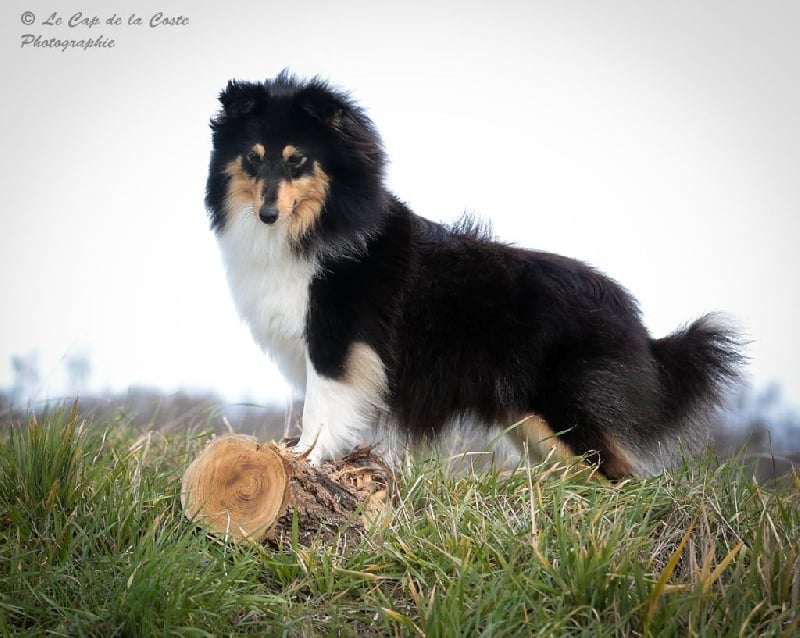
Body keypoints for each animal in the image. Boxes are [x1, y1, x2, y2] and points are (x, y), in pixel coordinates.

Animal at [206, 71, 744, 480]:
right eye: (253, 157)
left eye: (297, 159)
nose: (267, 214)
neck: (320, 224)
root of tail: (640, 327)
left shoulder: (338, 343)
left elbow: (322, 410)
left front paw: (304, 460)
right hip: (529, 423)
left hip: (564, 409)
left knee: (618, 472)